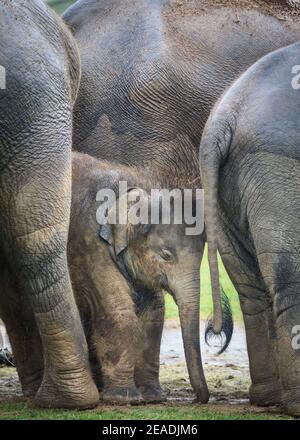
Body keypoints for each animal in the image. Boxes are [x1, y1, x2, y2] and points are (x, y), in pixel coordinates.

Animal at [69, 153, 209, 404]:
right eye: (166, 255)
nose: (197, 399)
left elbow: (154, 311)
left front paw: (154, 398)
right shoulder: (88, 243)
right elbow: (118, 309)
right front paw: (125, 399)